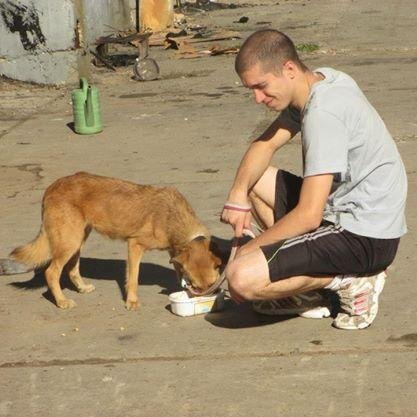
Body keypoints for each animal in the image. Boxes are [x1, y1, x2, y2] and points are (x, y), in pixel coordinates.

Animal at [4, 171, 221, 308]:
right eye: (196, 286)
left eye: (212, 284)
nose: (207, 302)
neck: (172, 216)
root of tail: (52, 187)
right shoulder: (134, 244)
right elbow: (133, 278)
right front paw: (131, 302)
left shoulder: (174, 250)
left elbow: (177, 268)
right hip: (70, 241)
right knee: (51, 272)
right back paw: (62, 301)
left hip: (78, 239)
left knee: (71, 269)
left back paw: (82, 288)